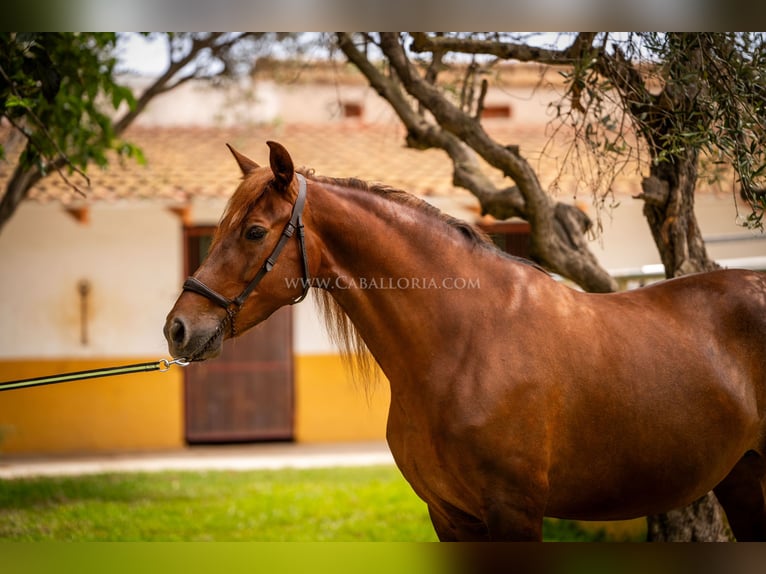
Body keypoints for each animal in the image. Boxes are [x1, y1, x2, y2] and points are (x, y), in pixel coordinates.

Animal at [165, 142, 766, 544]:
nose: (178, 328)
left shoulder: (515, 514)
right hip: (741, 477)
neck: (465, 346)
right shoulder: (450, 516)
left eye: (254, 232)